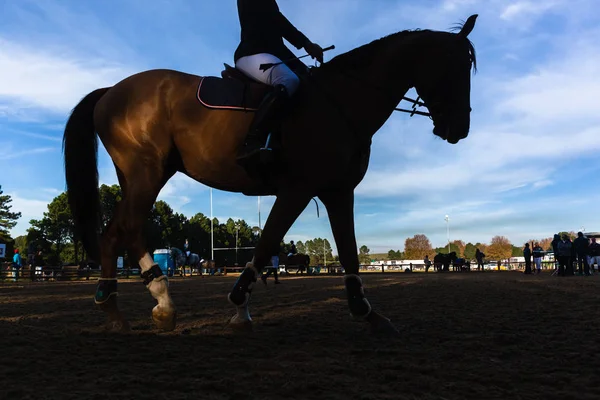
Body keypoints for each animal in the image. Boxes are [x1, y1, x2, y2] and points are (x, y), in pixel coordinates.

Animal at [63, 14, 480, 334]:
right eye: (454, 69)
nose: (459, 129)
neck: (341, 103)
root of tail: (111, 91)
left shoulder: (338, 190)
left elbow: (347, 252)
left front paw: (367, 312)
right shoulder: (299, 189)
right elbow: (266, 244)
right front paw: (239, 305)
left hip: (139, 175)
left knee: (124, 229)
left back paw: (142, 305)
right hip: (147, 172)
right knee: (122, 229)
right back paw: (134, 305)